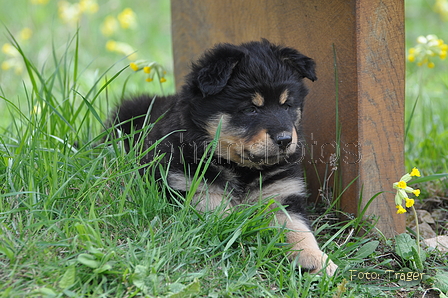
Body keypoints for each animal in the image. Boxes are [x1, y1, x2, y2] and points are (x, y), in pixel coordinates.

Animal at [108, 39, 338, 274]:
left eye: (287, 105)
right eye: (250, 109)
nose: (285, 139)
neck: (241, 169)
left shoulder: (282, 194)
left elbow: (297, 229)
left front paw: (315, 259)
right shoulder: (196, 188)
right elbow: (223, 216)